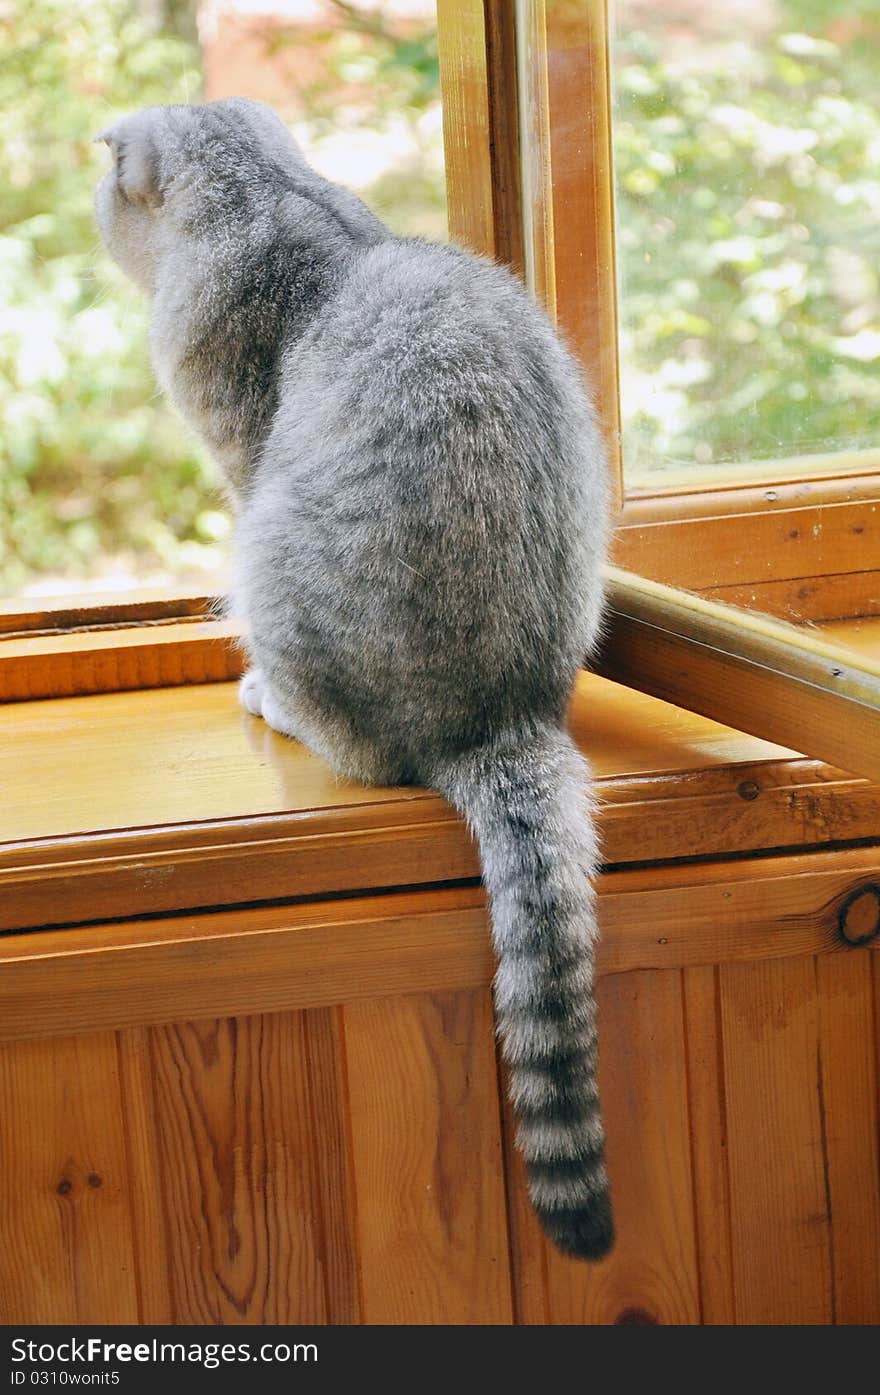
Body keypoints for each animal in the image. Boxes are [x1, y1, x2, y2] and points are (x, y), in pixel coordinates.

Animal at [96, 92, 616, 1261]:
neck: (276, 195)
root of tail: (503, 722)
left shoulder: (239, 446)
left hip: (272, 554)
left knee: (353, 743)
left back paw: (274, 701)